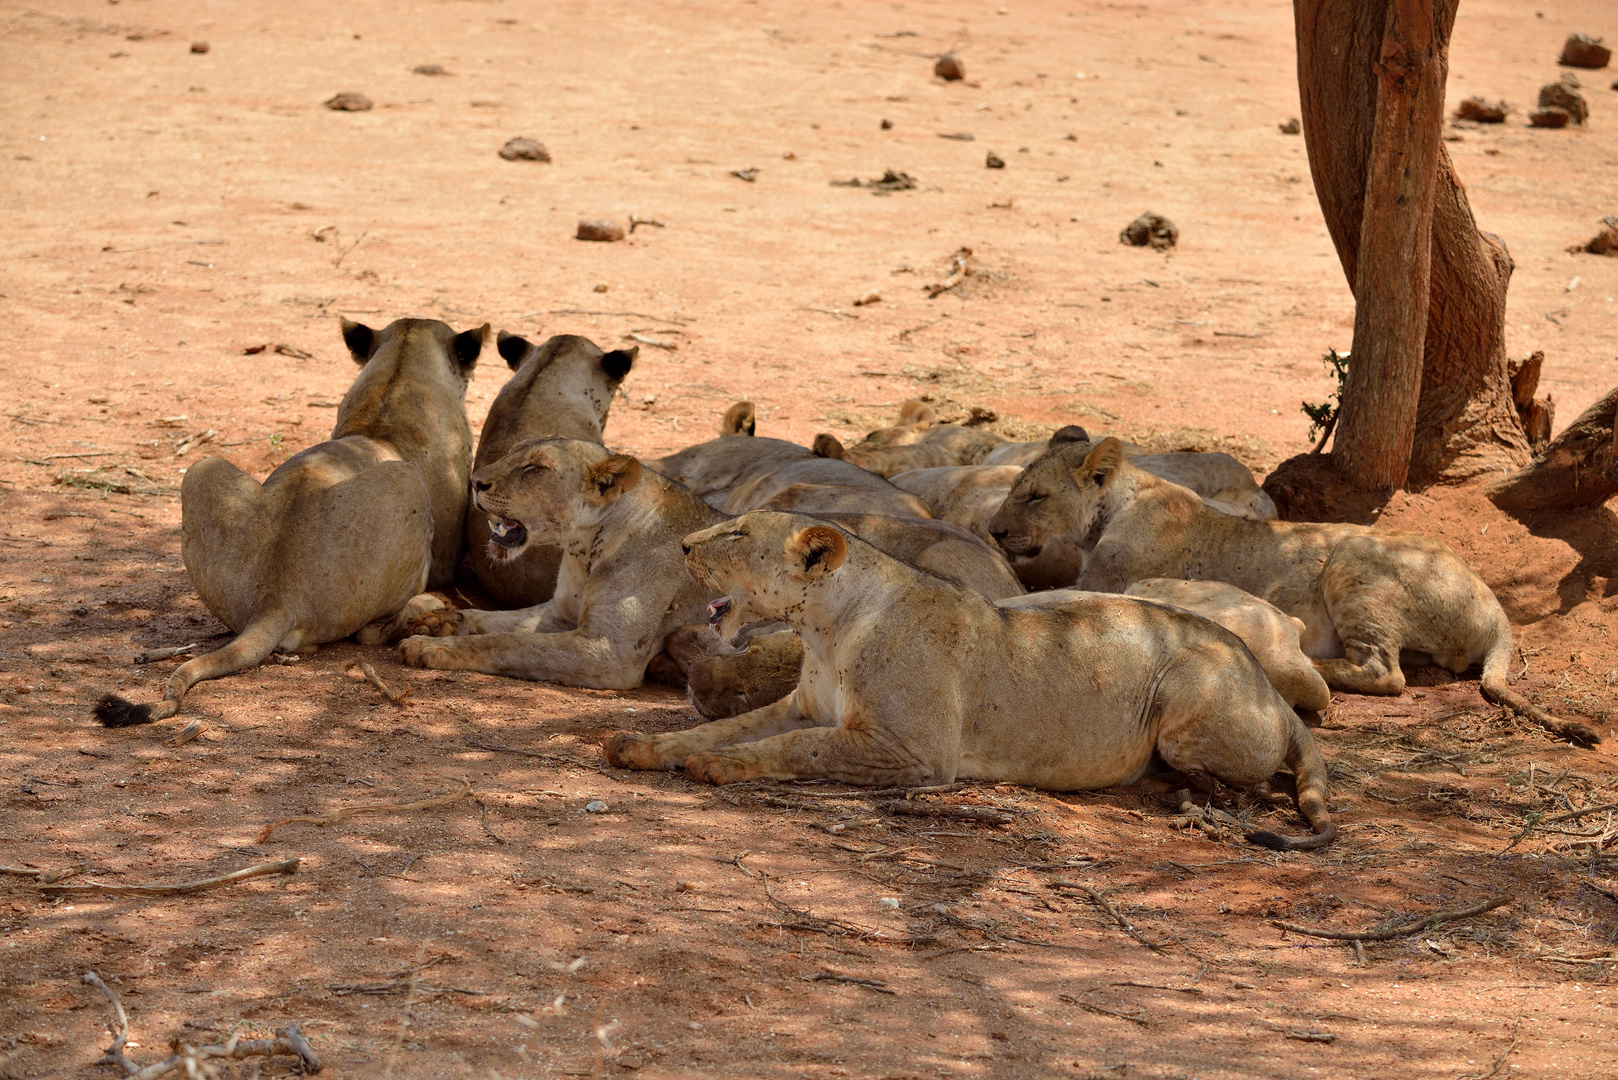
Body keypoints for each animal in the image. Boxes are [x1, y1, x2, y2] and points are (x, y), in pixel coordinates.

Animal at [93, 318, 482, 725]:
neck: (398, 372)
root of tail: (278, 596)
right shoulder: (445, 553)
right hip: (407, 482)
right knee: (373, 634)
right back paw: (430, 613)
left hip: (200, 469)